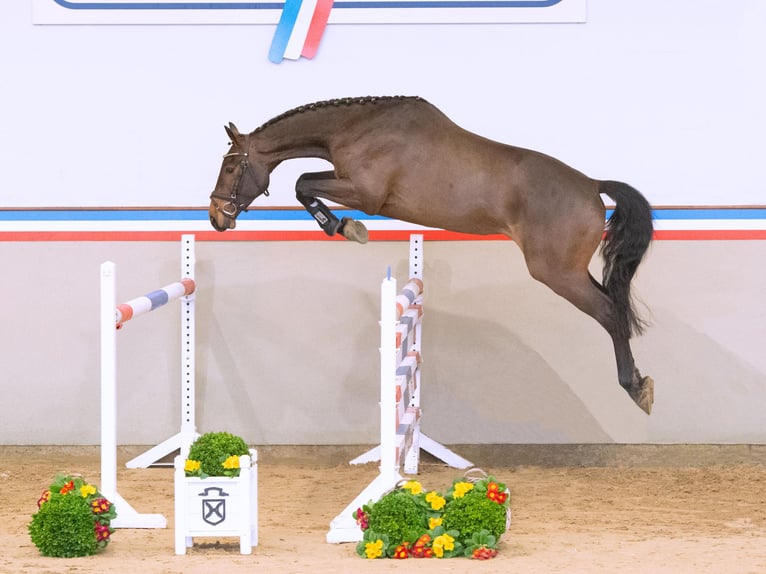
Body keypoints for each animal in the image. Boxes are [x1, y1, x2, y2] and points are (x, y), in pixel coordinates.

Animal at [210, 97, 656, 416]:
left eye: (231, 169)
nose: (216, 216)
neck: (358, 129)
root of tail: (592, 185)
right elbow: (305, 183)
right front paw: (344, 227)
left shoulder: (366, 194)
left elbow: (303, 183)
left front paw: (346, 228)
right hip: (571, 271)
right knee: (615, 306)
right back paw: (638, 381)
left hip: (556, 273)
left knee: (609, 312)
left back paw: (635, 388)